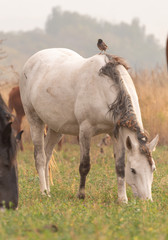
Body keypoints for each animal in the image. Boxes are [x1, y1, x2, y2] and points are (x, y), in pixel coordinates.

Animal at [19, 48, 159, 202]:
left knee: (47, 155)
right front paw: (81, 195)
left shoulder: (116, 134)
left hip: (56, 128)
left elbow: (120, 167)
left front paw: (122, 199)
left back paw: (48, 191)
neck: (105, 86)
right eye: (133, 170)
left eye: (153, 168)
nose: (147, 200)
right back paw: (43, 192)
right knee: (40, 157)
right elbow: (85, 165)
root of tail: (32, 60)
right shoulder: (85, 130)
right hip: (34, 120)